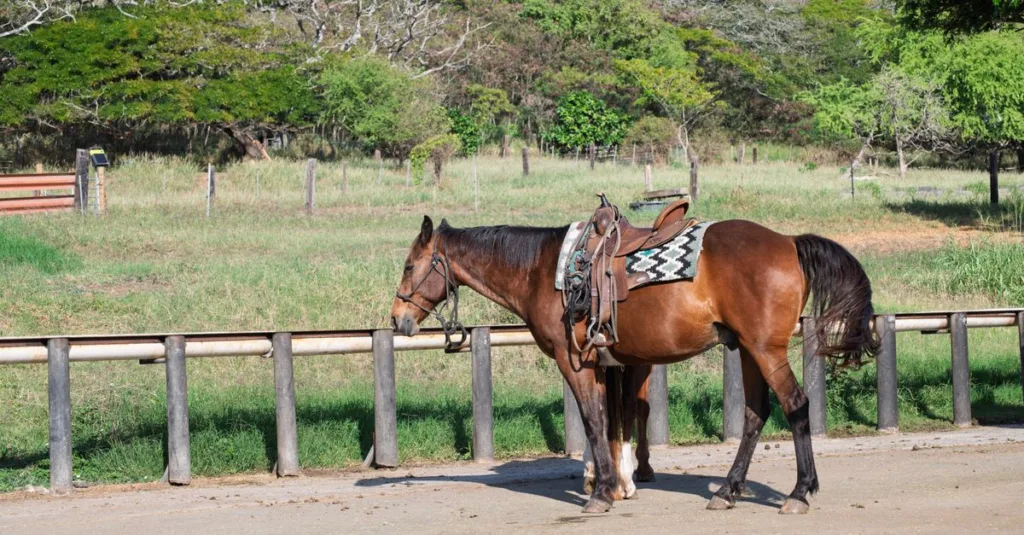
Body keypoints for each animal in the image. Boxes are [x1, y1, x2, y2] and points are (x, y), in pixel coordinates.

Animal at [390, 212, 878, 515]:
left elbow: (593, 421)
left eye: (410, 266)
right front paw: (609, 483)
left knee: (796, 405)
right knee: (756, 414)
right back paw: (727, 489)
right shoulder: (606, 364)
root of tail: (789, 243)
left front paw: (603, 492)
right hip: (748, 350)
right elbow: (607, 422)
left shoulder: (575, 363)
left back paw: (799, 492)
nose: (397, 319)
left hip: (765, 349)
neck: (545, 271)